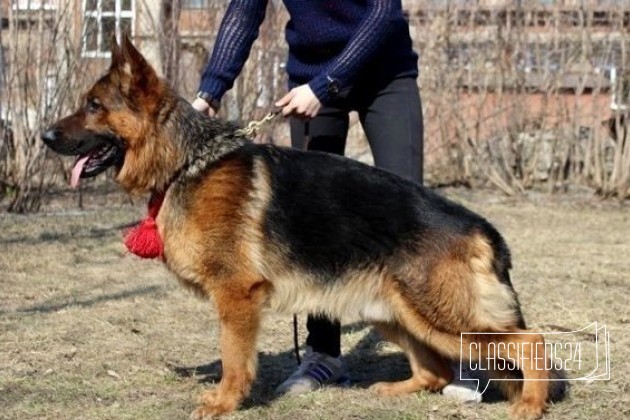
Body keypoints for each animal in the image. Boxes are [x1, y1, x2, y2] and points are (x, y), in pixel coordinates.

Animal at [44, 37, 568, 418]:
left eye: (94, 105)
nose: (45, 136)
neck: (186, 162)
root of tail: (483, 228)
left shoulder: (237, 295)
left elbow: (233, 359)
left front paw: (224, 403)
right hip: (397, 313)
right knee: (435, 368)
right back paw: (397, 390)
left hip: (445, 316)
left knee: (532, 343)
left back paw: (529, 405)